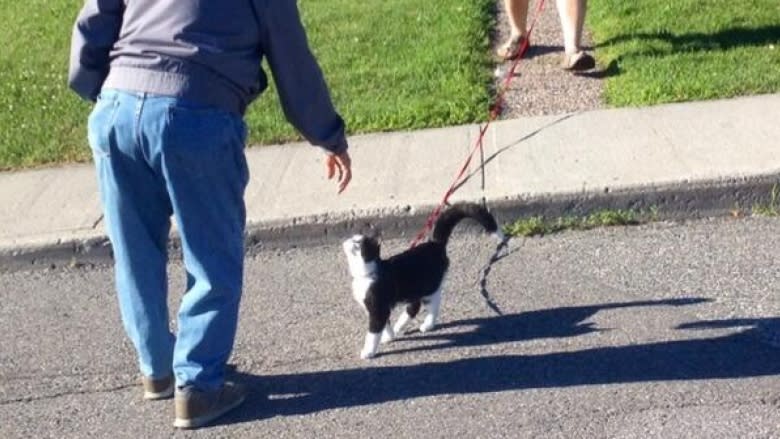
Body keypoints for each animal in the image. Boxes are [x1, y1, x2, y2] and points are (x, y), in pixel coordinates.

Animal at [342, 205, 506, 360]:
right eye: (353, 238)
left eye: (357, 243)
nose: (346, 241)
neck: (366, 274)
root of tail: (435, 244)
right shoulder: (382, 307)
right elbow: (385, 323)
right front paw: (389, 337)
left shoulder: (378, 307)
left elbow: (372, 333)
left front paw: (368, 351)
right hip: (416, 288)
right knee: (415, 306)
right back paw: (399, 326)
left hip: (429, 287)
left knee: (432, 304)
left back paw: (426, 325)